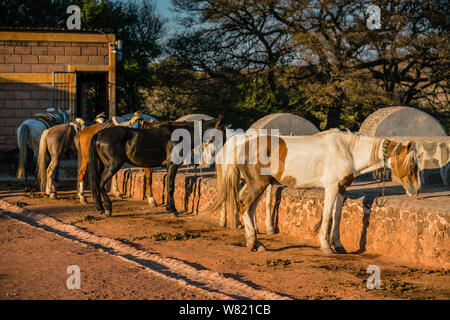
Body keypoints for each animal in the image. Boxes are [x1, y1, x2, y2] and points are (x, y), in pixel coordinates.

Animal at [88, 118, 225, 218]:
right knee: (100, 182)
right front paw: (172, 210)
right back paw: (108, 209)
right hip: (112, 165)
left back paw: (101, 207)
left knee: (96, 182)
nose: (223, 148)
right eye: (221, 132)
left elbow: (169, 186)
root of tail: (99, 134)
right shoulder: (172, 165)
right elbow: (171, 186)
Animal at [209, 129, 420, 254]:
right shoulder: (331, 187)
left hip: (256, 185)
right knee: (244, 206)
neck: (348, 151)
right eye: (411, 163)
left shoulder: (341, 189)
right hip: (257, 185)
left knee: (248, 208)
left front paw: (338, 245)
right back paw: (253, 242)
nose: (415, 190)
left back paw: (255, 243)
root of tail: (241, 145)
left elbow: (337, 216)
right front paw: (326, 246)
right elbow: (326, 216)